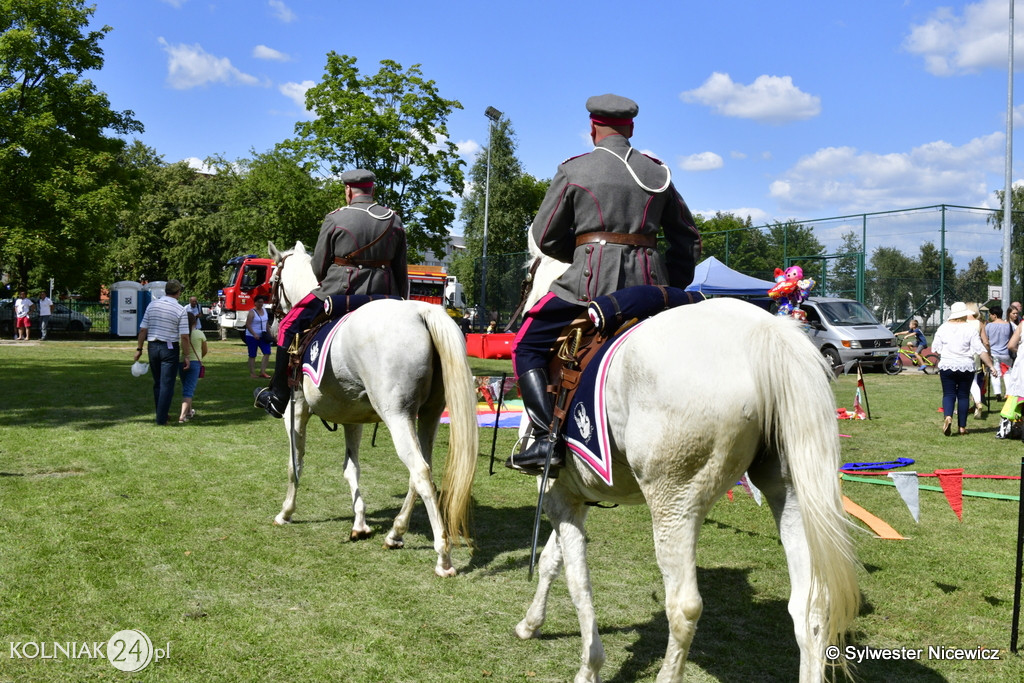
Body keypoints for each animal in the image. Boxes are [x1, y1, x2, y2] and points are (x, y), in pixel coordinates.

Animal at [272, 240, 479, 577]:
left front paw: (286, 512)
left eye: (272, 281)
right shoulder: (351, 420)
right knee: (422, 470)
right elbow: (351, 468)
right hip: (430, 415)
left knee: (420, 472)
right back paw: (395, 533)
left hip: (398, 417)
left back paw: (443, 556)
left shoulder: (297, 410)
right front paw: (360, 523)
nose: (274, 321)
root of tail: (421, 310)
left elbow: (295, 463)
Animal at [516, 237, 860, 679]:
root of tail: (764, 332)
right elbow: (551, 561)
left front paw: (589, 666)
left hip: (674, 503)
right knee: (811, 606)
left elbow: (576, 577)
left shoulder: (558, 494)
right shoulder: (573, 495)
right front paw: (531, 624)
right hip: (793, 495)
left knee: (683, 606)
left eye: (526, 278)